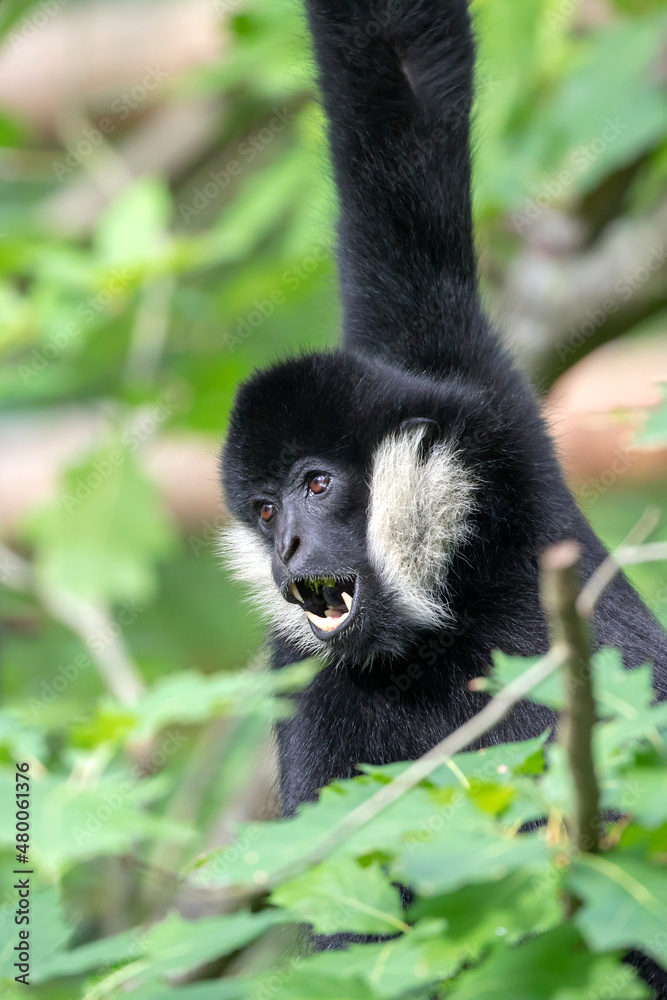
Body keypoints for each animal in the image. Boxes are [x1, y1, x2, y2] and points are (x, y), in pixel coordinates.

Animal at [220, 0, 667, 990]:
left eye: (316, 485)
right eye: (264, 508)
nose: (288, 548)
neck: (439, 627)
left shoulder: (492, 421)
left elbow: (400, 78)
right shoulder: (307, 683)